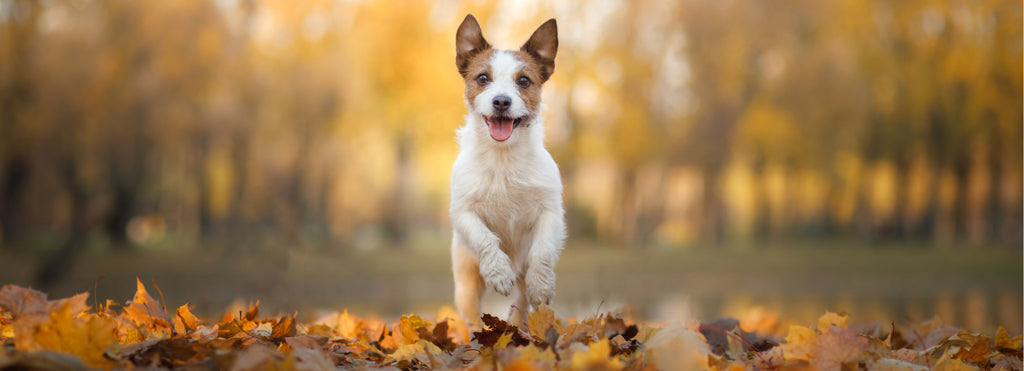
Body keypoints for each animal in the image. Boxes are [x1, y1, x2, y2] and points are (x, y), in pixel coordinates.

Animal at [452, 14, 569, 325]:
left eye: (524, 81)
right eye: (483, 78)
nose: (502, 101)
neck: (503, 157)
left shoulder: (550, 212)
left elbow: (542, 250)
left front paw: (542, 284)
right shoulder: (463, 212)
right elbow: (484, 239)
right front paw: (499, 273)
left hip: (521, 286)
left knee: (521, 302)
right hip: (466, 285)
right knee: (472, 316)